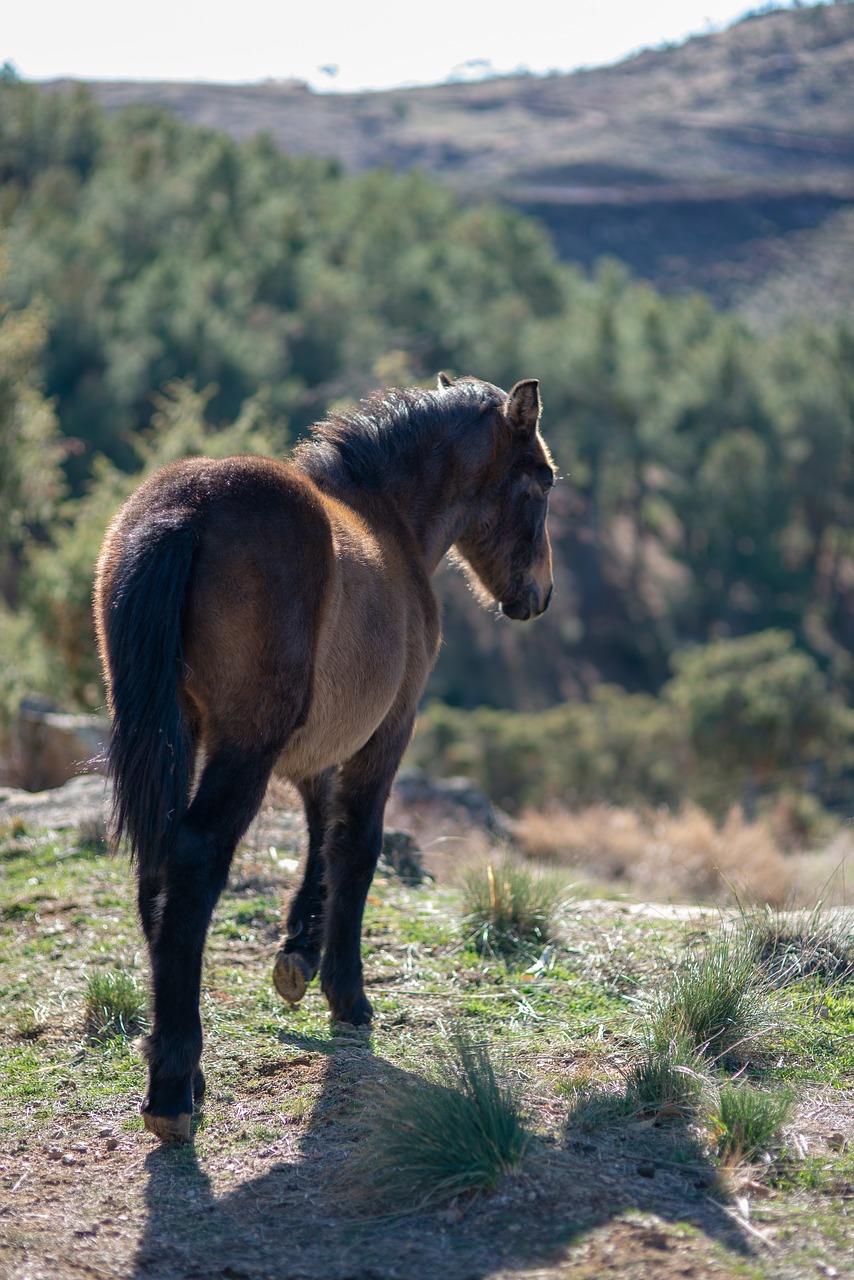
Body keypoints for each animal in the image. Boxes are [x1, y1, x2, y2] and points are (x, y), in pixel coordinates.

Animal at [93, 373, 555, 1141]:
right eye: (542, 484)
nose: (538, 596)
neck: (389, 521)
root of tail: (187, 506)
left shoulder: (317, 747)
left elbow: (319, 832)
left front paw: (298, 953)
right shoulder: (387, 730)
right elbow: (356, 848)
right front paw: (347, 992)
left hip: (173, 734)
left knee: (155, 868)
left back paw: (180, 1066)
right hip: (241, 746)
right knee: (192, 862)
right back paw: (173, 1090)